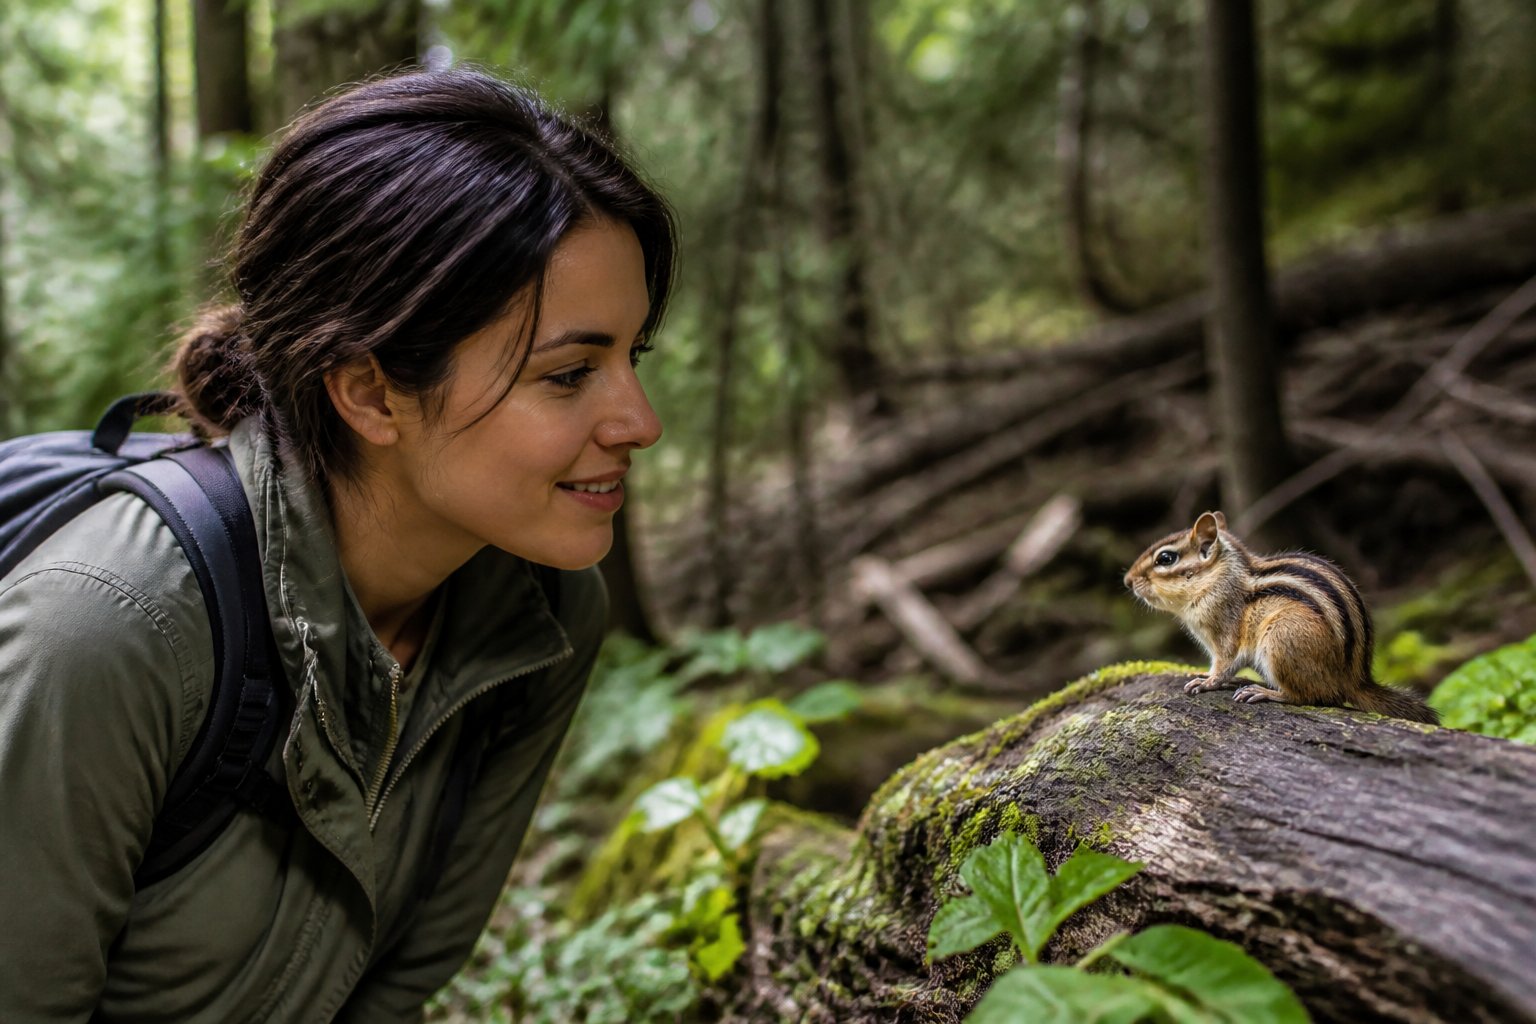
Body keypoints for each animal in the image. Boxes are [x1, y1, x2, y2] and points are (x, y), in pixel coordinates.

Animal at [1123, 511, 1439, 724]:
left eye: (1166, 559)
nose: (1127, 581)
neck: (1217, 577)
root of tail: (1354, 679)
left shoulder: (1224, 628)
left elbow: (1225, 662)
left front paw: (1207, 682)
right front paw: (1202, 675)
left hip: (1282, 638)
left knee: (1317, 696)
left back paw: (1266, 692)